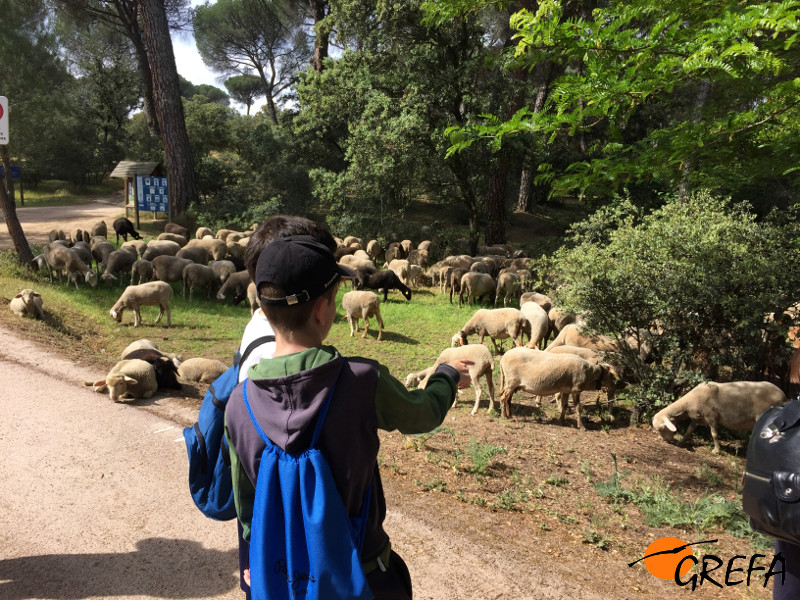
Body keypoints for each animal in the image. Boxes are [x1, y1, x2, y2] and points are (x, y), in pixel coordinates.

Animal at [648, 380, 788, 454]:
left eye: (662, 428)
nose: (666, 441)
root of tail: (783, 395)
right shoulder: (698, 419)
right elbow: (688, 431)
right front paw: (680, 442)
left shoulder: (712, 417)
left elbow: (714, 434)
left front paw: (716, 450)